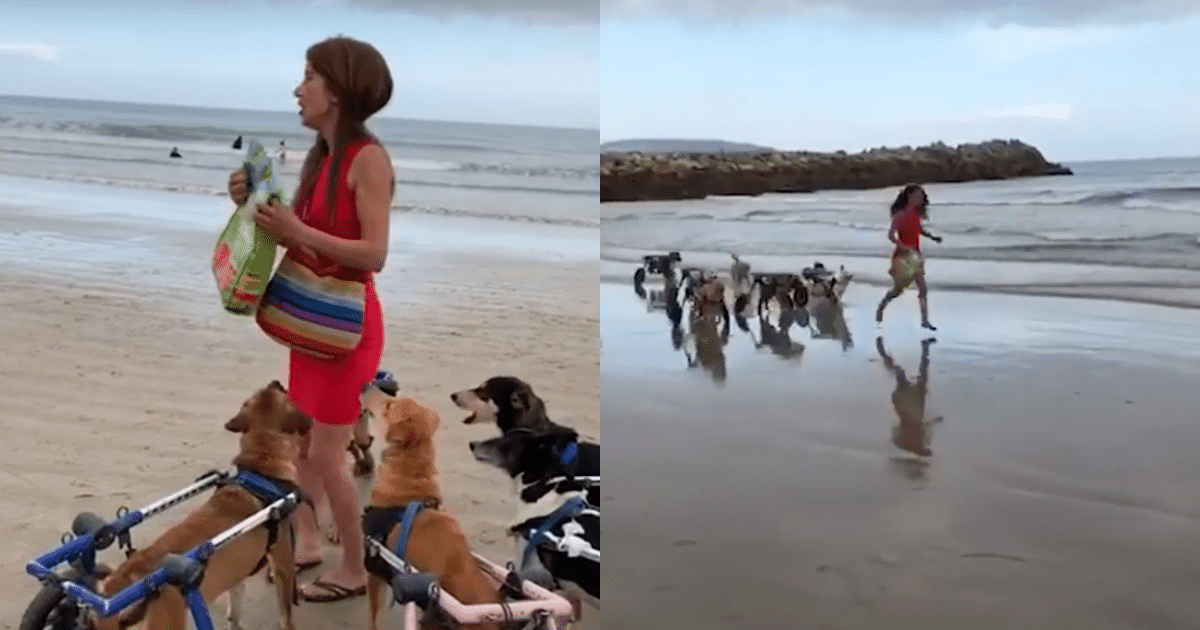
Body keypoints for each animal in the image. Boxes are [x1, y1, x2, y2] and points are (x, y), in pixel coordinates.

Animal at [91, 379, 312, 628]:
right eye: (281, 393)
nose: (274, 381)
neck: (260, 469)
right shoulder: (284, 564)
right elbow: (286, 615)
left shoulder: (236, 577)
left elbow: (235, 613)